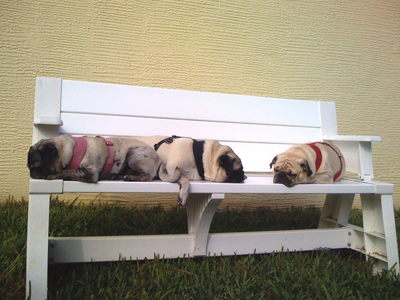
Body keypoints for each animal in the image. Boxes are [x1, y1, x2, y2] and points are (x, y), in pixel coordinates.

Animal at [27, 135, 188, 202]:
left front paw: (53, 175)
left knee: (146, 177)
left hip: (133, 154)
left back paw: (131, 177)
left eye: (36, 167)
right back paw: (117, 176)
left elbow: (67, 171)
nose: (31, 174)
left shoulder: (90, 172)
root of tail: (160, 159)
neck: (72, 150)